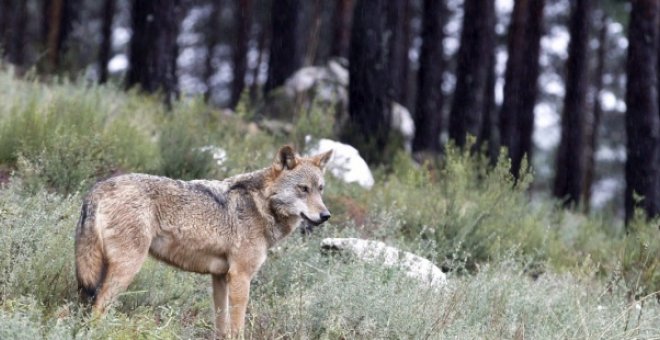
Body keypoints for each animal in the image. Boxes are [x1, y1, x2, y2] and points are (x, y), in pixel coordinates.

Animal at [75, 145, 332, 338]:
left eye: (320, 189)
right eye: (303, 189)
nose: (326, 215)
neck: (260, 206)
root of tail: (98, 188)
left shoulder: (220, 277)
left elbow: (222, 326)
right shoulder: (240, 277)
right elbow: (237, 327)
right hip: (127, 268)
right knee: (99, 305)